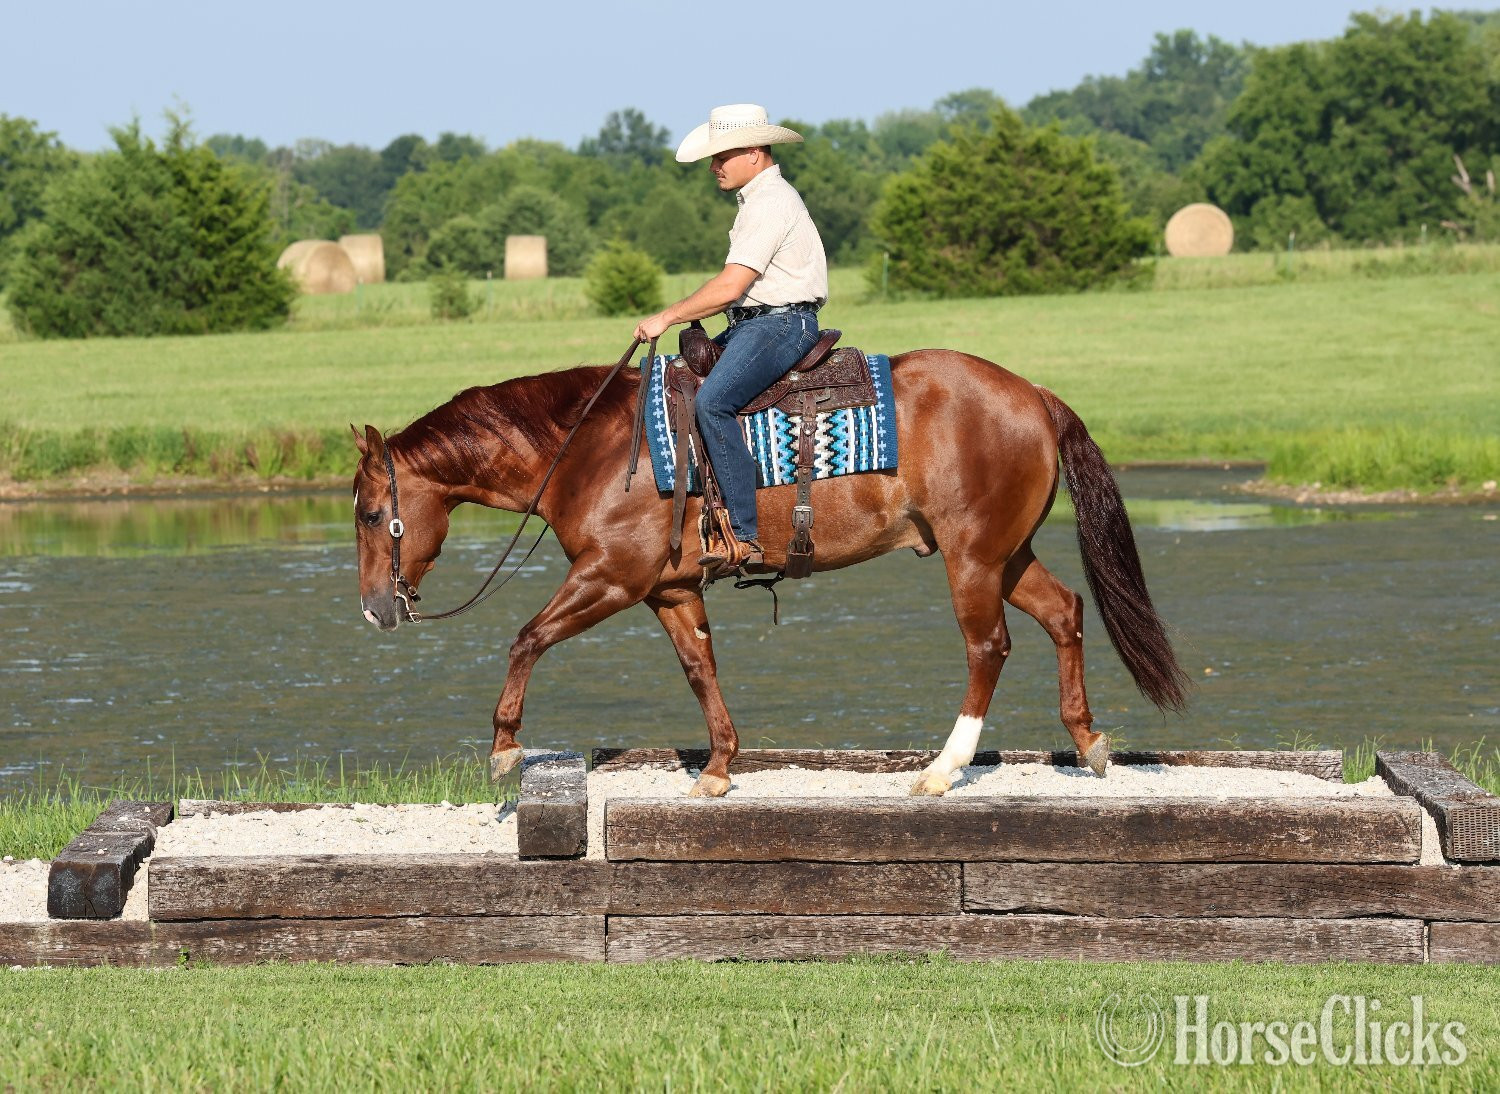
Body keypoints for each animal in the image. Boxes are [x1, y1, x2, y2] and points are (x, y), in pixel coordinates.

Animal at [351, 348, 1189, 798]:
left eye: (367, 512)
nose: (373, 610)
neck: (591, 446)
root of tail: (1034, 396)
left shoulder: (611, 579)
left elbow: (526, 637)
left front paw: (503, 747)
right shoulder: (668, 591)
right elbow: (701, 670)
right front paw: (720, 765)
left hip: (972, 558)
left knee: (990, 648)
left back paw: (942, 770)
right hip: (1006, 554)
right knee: (1065, 613)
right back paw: (1088, 742)